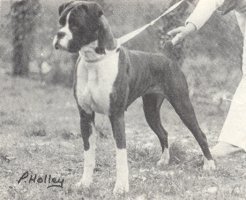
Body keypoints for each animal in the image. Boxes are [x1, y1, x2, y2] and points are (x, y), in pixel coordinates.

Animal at [52, 0, 215, 194]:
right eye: (61, 22)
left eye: (76, 24)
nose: (59, 34)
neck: (94, 60)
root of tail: (167, 58)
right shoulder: (86, 116)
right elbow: (88, 153)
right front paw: (85, 183)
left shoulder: (116, 115)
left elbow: (121, 153)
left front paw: (121, 187)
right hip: (150, 111)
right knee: (163, 133)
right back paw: (164, 160)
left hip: (182, 105)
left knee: (200, 134)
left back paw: (209, 164)